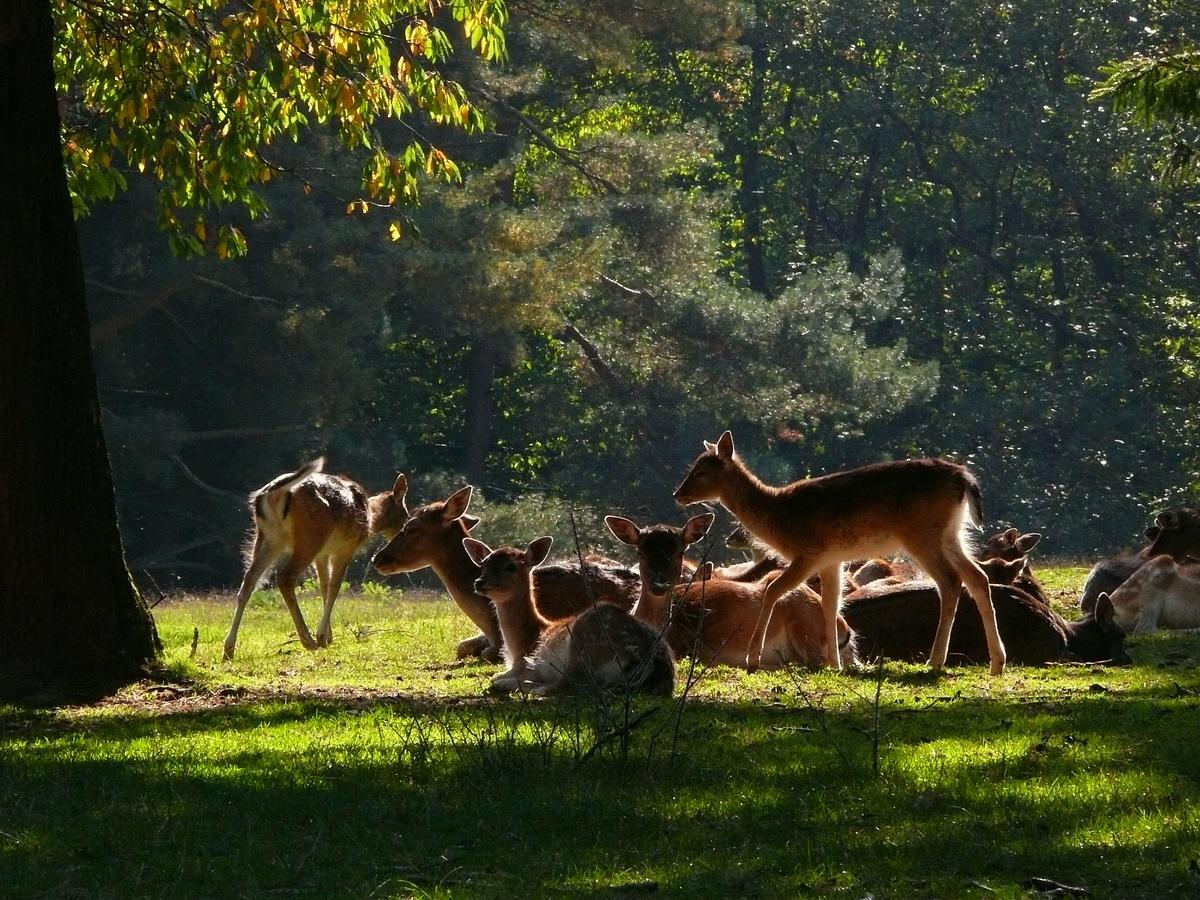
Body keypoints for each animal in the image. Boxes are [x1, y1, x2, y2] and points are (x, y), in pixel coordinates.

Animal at [463, 535, 681, 696]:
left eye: (511, 566)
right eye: (483, 564)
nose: (479, 582)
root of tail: (653, 664)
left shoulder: (526, 665)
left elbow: (496, 677)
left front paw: (505, 681)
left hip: (584, 642)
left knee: (571, 684)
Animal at [600, 513, 854, 672]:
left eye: (680, 552)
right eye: (640, 553)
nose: (659, 584)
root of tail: (847, 631)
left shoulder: (686, 648)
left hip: (805, 626)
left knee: (817, 663)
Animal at [676, 432, 1003, 676]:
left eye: (701, 471)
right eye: (692, 467)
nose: (678, 494)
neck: (779, 519)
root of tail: (964, 480)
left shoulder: (809, 552)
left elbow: (772, 590)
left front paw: (752, 659)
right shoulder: (832, 559)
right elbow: (831, 604)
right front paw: (834, 664)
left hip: (923, 535)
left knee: (950, 582)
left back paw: (935, 661)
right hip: (952, 534)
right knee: (978, 577)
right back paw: (996, 663)